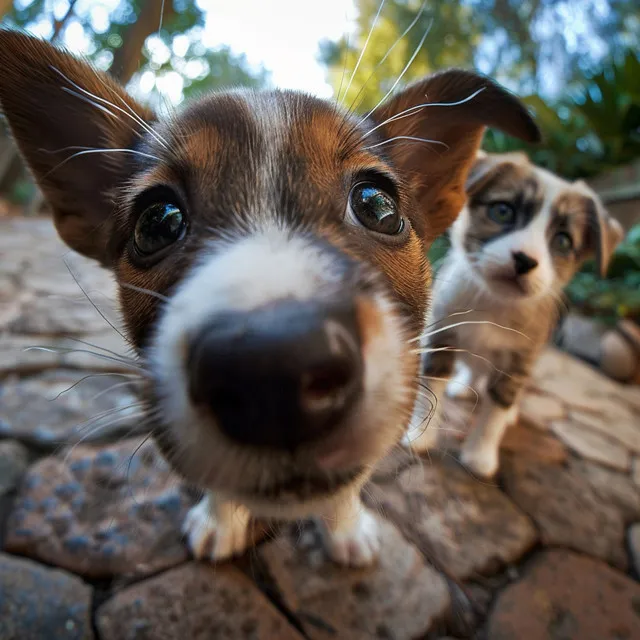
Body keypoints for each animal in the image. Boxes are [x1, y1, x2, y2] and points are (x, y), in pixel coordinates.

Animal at [0, 31, 540, 564]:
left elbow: (347, 488)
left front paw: (346, 530)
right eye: (157, 222)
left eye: (377, 205)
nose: (274, 374)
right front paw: (220, 521)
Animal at [408, 152, 624, 478]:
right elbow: (430, 385)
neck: (495, 304)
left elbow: (497, 407)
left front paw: (480, 455)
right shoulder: (441, 332)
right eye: (502, 211)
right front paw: (420, 436)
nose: (524, 261)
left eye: (562, 241)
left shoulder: (520, 359)